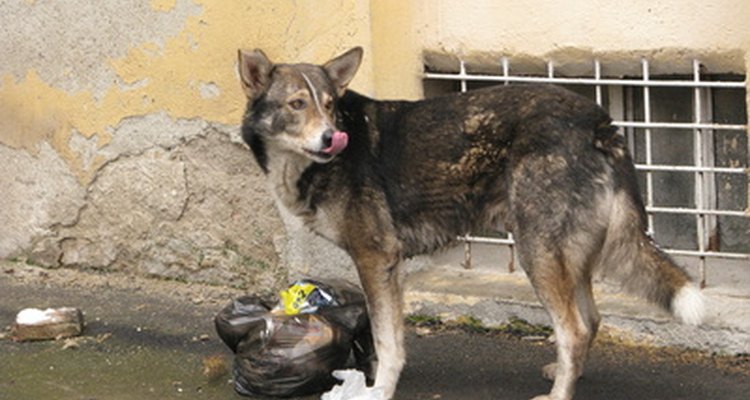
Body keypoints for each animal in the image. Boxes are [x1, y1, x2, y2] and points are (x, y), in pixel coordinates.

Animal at [238, 47, 708, 400]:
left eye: (330, 105)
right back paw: (564, 373)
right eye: (297, 104)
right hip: (568, 255)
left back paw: (559, 393)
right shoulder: (388, 267)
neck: (304, 166)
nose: (331, 138)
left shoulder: (375, 259)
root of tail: (598, 121)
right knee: (589, 320)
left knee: (574, 329)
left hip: (537, 251)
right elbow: (393, 338)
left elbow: (387, 342)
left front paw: (380, 390)